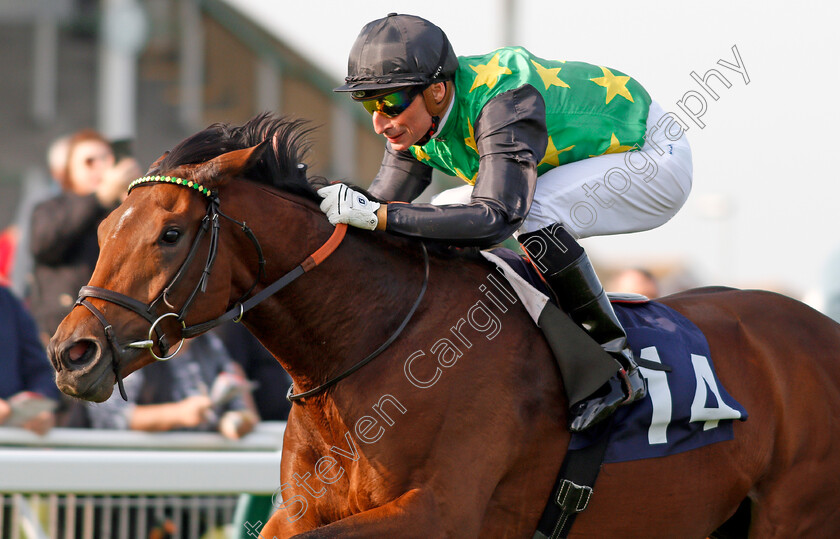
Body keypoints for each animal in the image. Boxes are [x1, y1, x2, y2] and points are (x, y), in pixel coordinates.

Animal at [49, 114, 840, 536]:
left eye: (170, 234)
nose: (70, 352)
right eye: (105, 229)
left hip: (796, 516)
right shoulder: (303, 510)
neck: (373, 345)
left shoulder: (439, 511)